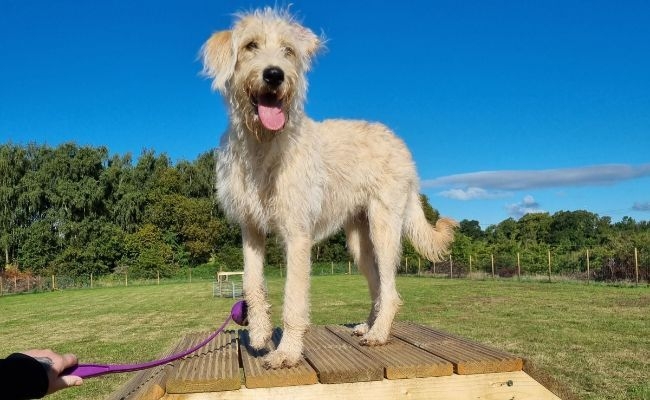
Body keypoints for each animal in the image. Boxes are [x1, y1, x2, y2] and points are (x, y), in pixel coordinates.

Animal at [200, 7, 458, 368]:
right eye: (250, 45)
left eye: (289, 51)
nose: (275, 75)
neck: (264, 144)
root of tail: (401, 145)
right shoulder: (251, 229)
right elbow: (252, 283)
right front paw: (260, 334)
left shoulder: (297, 235)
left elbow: (294, 300)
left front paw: (287, 352)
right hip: (359, 243)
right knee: (378, 287)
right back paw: (368, 325)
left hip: (384, 229)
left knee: (391, 291)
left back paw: (379, 333)